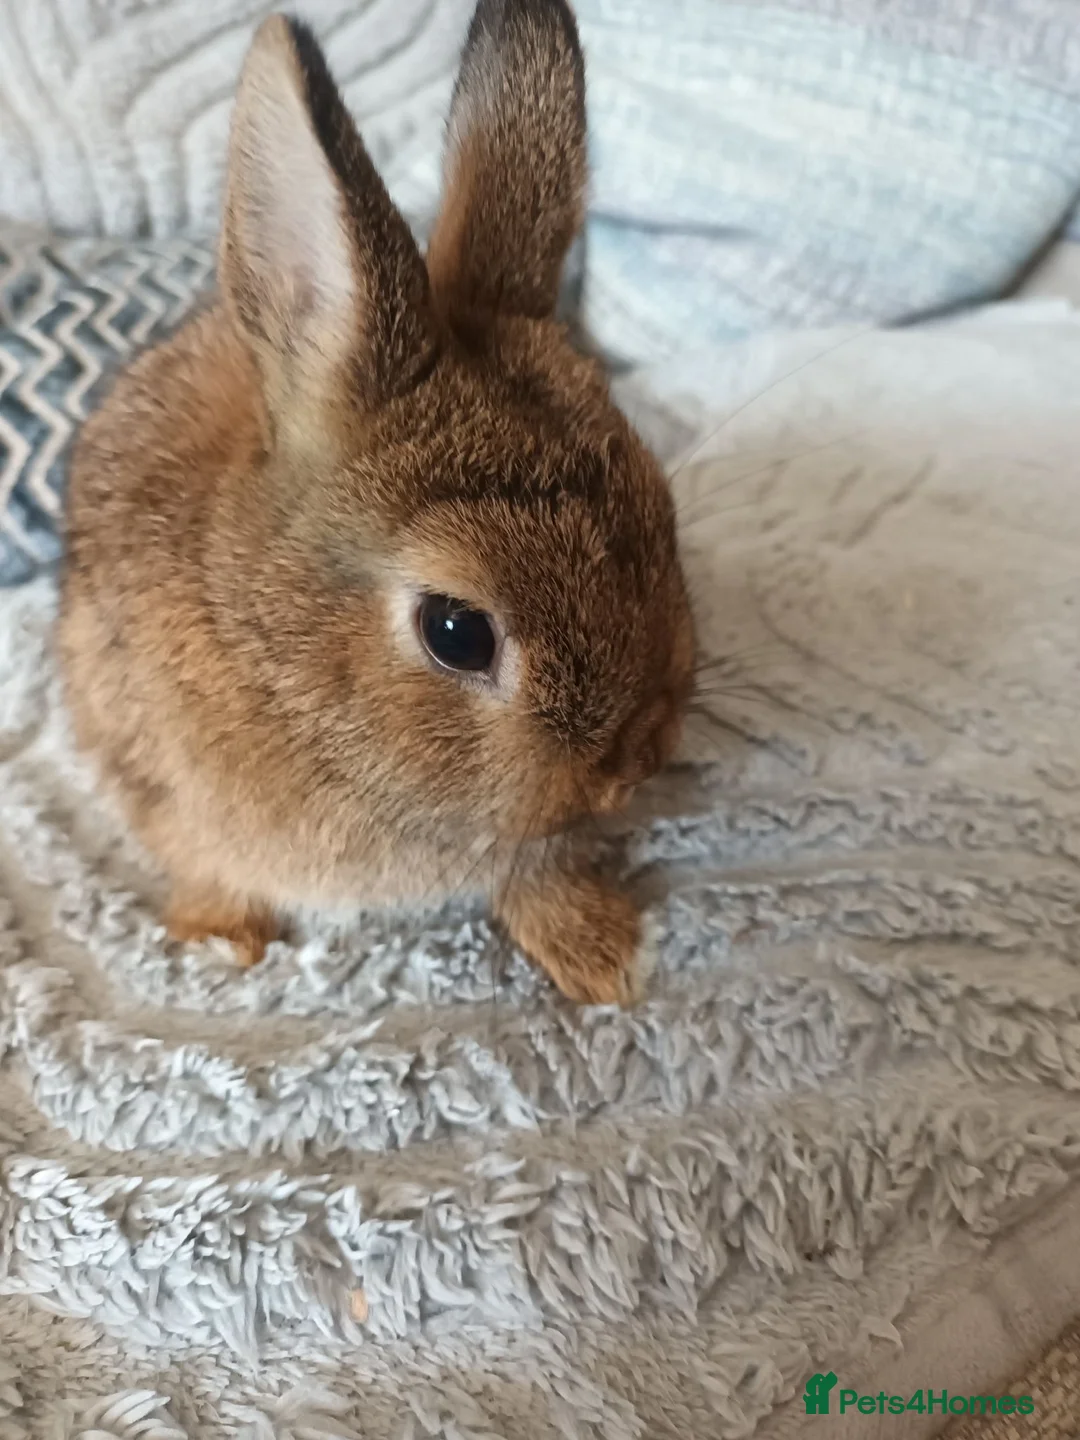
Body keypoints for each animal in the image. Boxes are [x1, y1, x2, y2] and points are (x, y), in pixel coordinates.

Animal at [57, 0, 695, 1006]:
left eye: (662, 513)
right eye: (457, 633)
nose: (638, 761)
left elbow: (535, 870)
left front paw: (605, 955)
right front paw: (218, 944)